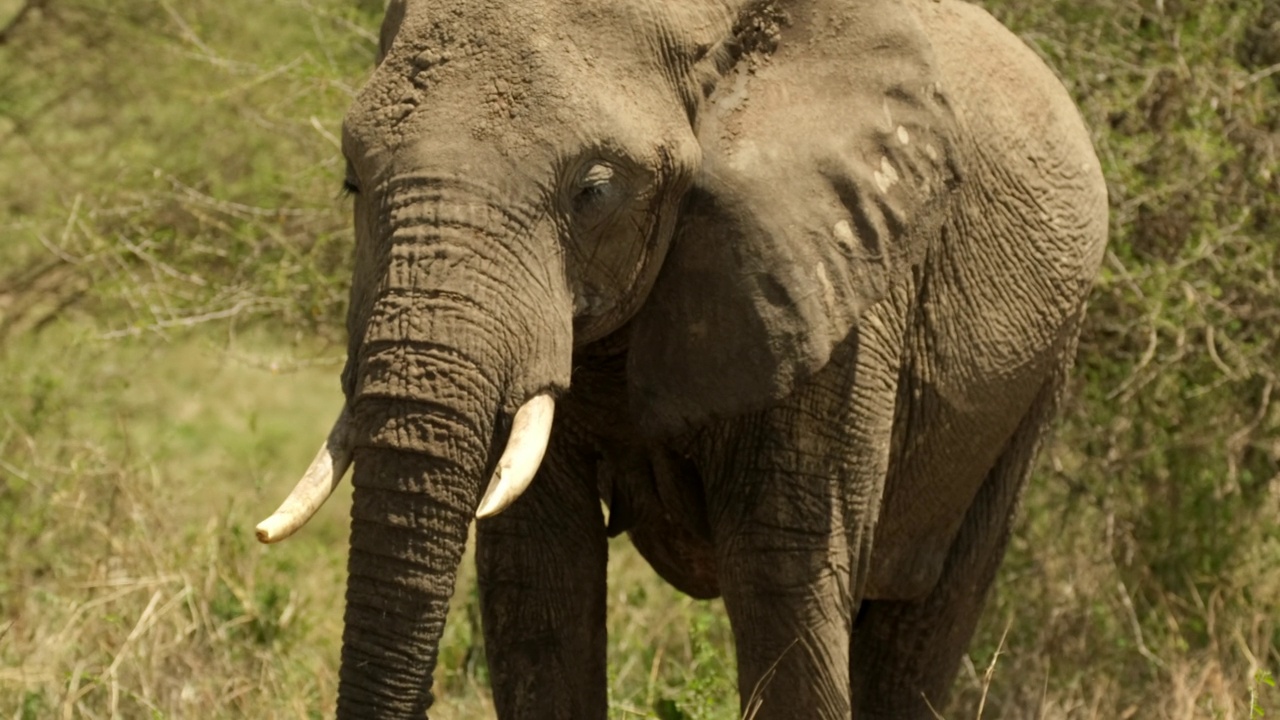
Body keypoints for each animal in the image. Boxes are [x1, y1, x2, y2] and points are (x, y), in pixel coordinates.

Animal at [254, 0, 1105, 712]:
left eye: (595, 191)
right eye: (352, 178)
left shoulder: (841, 286)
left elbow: (782, 576)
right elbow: (538, 581)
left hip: (1038, 373)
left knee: (921, 628)